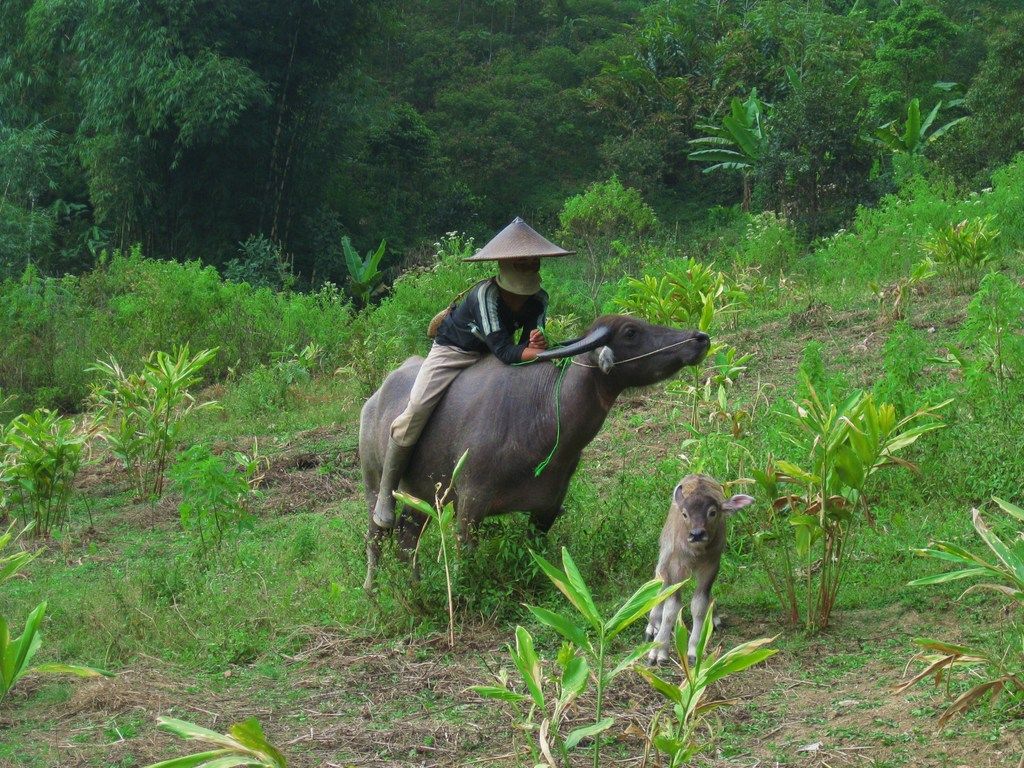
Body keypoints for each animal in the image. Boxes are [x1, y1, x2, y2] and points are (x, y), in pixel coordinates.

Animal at [362, 313, 712, 589]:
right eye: (630, 332)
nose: (699, 338)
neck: (540, 415)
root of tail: (373, 401)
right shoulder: (471, 502)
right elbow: (467, 555)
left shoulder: (548, 505)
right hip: (375, 484)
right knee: (377, 534)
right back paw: (373, 588)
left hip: (420, 496)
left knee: (406, 538)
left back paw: (414, 584)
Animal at [647, 473, 753, 663]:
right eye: (685, 514)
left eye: (712, 512)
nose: (697, 534)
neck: (696, 553)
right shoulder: (676, 565)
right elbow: (671, 609)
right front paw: (659, 651)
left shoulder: (711, 566)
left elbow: (699, 605)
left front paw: (694, 650)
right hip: (665, 553)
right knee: (661, 579)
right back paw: (653, 625)